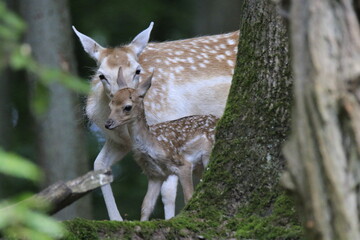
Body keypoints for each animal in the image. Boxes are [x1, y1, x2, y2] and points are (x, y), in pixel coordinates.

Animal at [72, 22, 239, 221]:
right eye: (101, 75)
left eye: (137, 70)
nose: (125, 96)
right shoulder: (120, 141)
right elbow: (99, 166)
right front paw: (116, 219)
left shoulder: (169, 124)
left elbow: (168, 192)